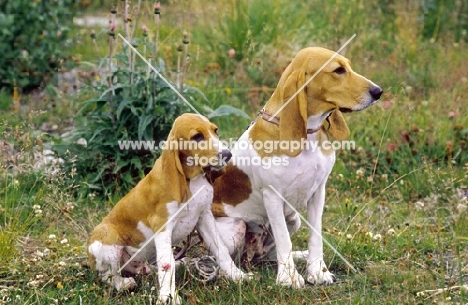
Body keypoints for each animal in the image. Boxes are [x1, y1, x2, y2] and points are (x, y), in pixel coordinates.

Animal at [86, 113, 250, 302]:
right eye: (197, 137)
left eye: (215, 131)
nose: (227, 154)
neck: (191, 181)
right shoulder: (162, 226)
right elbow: (166, 263)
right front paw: (168, 297)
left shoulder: (204, 218)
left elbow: (221, 250)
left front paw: (238, 276)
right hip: (108, 240)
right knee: (108, 275)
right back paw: (123, 284)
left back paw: (178, 263)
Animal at [210, 47, 382, 288]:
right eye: (338, 70)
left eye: (348, 66)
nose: (379, 91)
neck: (307, 135)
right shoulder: (272, 196)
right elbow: (284, 240)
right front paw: (289, 277)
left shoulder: (318, 193)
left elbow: (315, 238)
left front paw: (317, 271)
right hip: (235, 226)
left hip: (294, 219)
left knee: (268, 255)